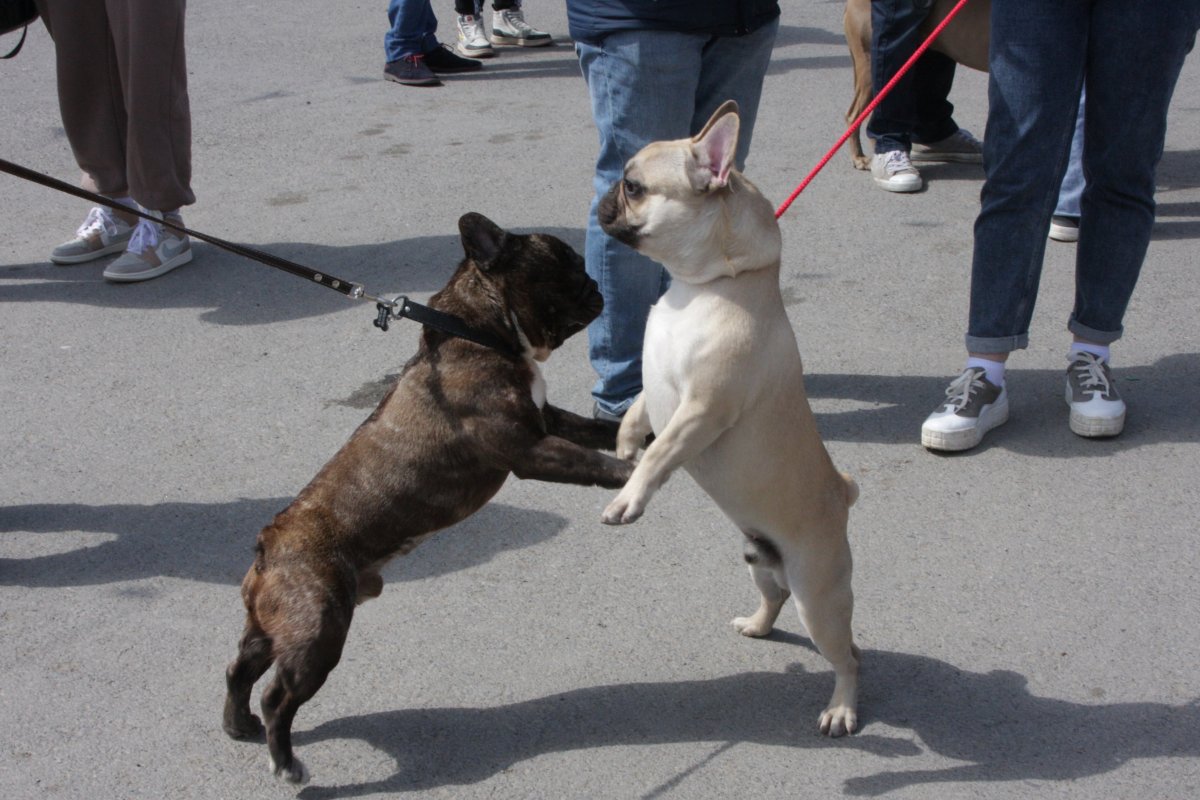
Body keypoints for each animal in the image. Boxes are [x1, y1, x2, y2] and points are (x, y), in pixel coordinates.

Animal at [597, 101, 864, 738]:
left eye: (634, 186)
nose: (603, 195)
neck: (706, 287)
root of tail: (842, 494)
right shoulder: (657, 386)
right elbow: (639, 408)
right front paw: (624, 441)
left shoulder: (702, 409)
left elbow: (662, 452)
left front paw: (629, 497)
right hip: (760, 564)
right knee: (774, 597)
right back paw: (757, 625)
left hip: (820, 597)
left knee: (847, 657)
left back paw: (842, 707)